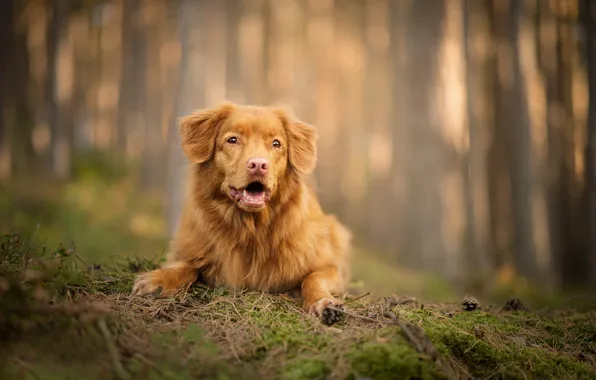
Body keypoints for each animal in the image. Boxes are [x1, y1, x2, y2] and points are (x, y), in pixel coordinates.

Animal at [133, 101, 352, 320]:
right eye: (233, 140)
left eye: (276, 144)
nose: (259, 165)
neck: (252, 228)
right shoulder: (190, 250)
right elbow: (186, 266)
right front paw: (159, 280)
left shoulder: (329, 266)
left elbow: (312, 279)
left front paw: (324, 302)